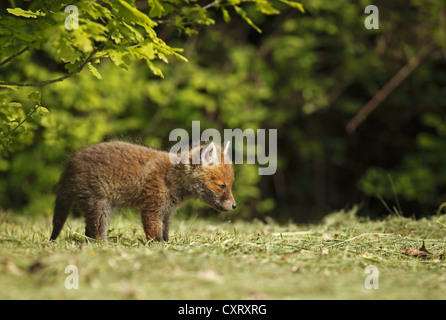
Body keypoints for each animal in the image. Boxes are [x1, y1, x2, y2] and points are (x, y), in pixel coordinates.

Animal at [50, 141, 235, 241]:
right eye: (222, 186)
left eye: (230, 185)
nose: (234, 206)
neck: (171, 178)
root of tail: (72, 161)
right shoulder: (151, 209)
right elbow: (155, 234)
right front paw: (157, 246)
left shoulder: (167, 212)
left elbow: (165, 232)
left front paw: (167, 244)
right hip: (100, 207)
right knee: (96, 232)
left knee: (88, 232)